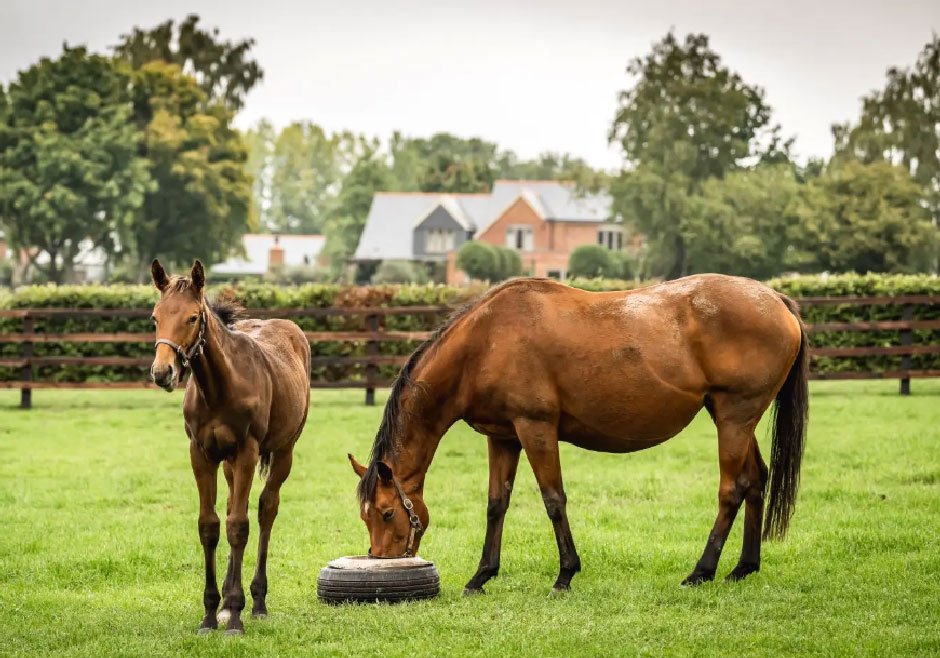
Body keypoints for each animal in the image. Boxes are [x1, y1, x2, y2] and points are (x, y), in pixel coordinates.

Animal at [149, 260, 311, 634]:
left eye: (192, 317)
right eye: (155, 317)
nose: (162, 372)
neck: (219, 388)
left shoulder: (247, 452)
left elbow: (239, 526)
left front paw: (236, 614)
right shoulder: (201, 453)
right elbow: (210, 525)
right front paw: (211, 613)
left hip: (283, 452)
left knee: (266, 509)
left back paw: (258, 601)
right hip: (227, 464)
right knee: (231, 506)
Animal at [348, 274, 808, 593]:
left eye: (386, 513)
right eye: (365, 516)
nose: (381, 563)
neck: (484, 342)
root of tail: (776, 300)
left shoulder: (535, 429)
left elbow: (554, 500)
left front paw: (565, 574)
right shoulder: (503, 437)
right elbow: (497, 505)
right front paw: (482, 576)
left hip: (734, 417)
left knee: (732, 489)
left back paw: (702, 571)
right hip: (732, 418)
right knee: (755, 480)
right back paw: (743, 567)